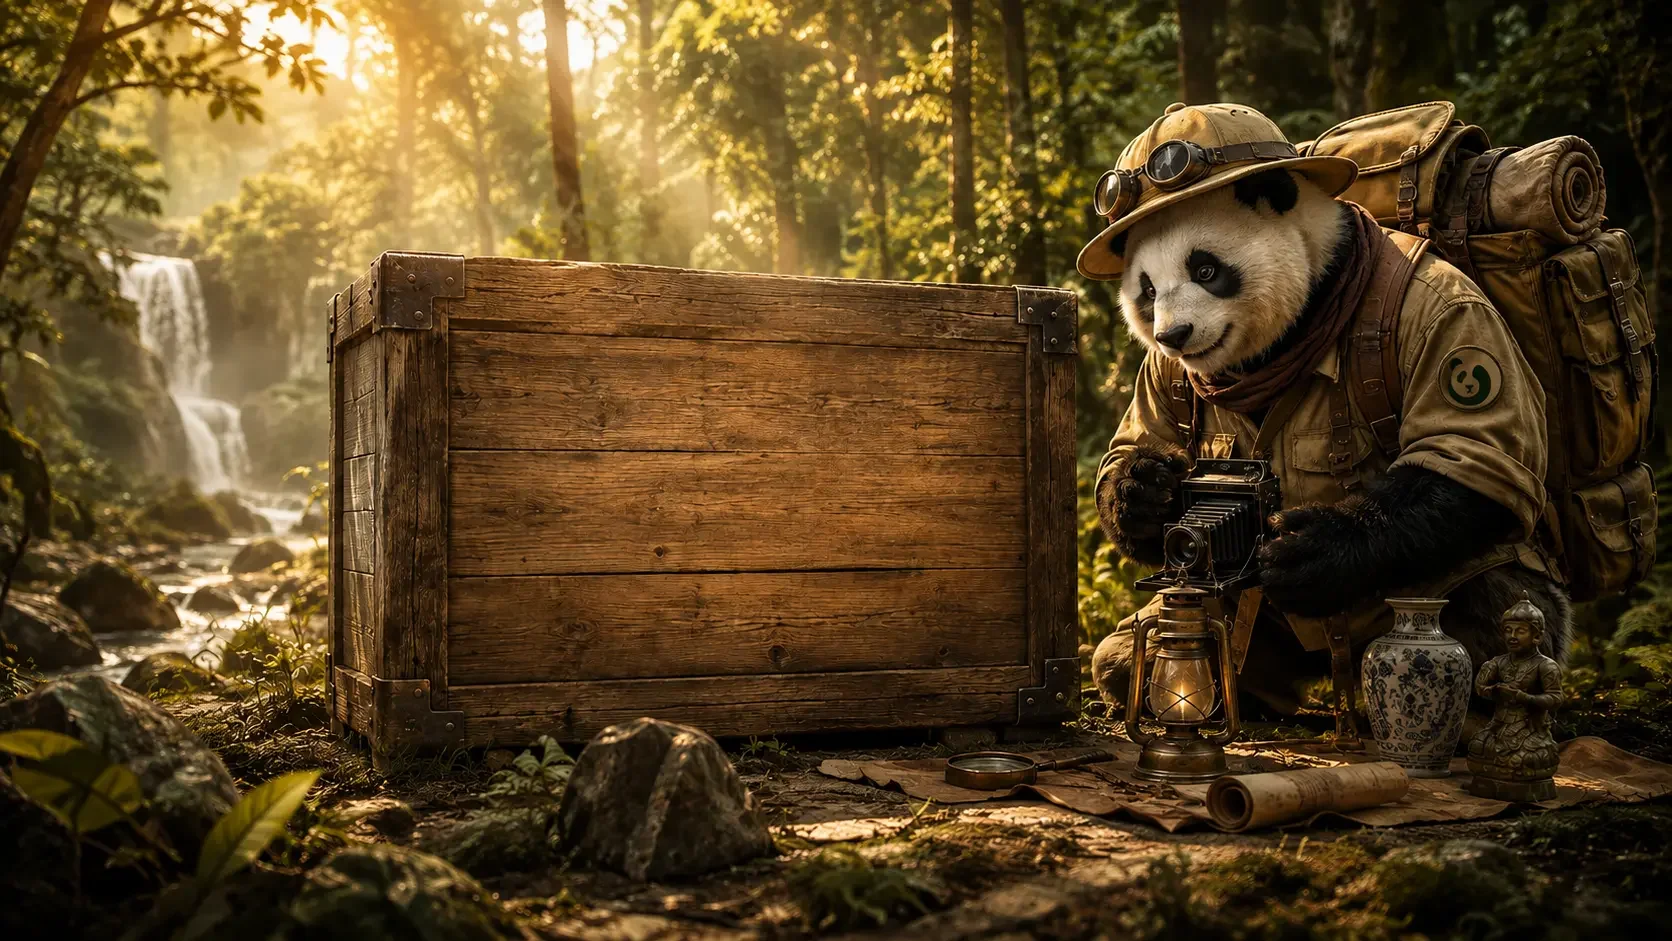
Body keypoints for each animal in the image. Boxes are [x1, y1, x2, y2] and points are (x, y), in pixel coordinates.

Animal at [1099, 167, 1571, 707]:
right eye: (1148, 290)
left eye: (1205, 269)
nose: (1173, 336)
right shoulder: (1161, 371)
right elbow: (1129, 451)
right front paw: (1145, 490)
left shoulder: (1448, 313)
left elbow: (1464, 462)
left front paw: (1311, 552)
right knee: (1120, 654)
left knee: (1489, 589)